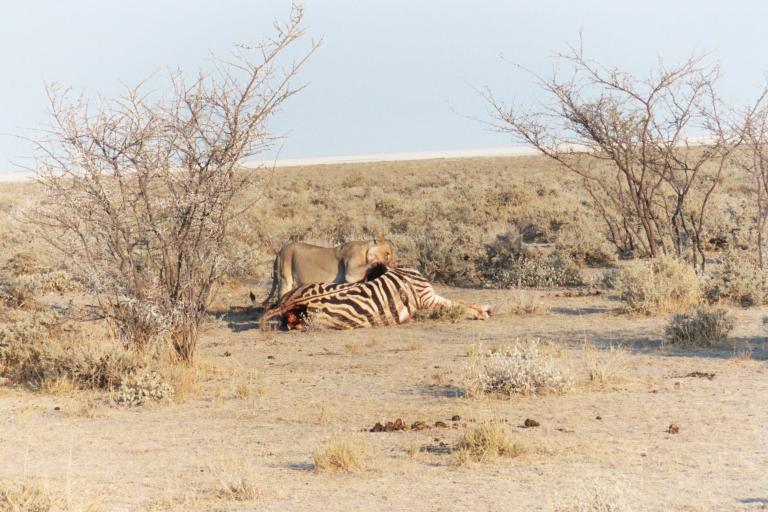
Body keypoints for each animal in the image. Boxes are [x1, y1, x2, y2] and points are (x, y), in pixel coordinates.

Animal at [259, 263, 492, 330]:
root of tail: (291, 303)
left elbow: (461, 302)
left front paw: (484, 308)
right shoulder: (428, 297)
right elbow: (458, 305)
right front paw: (483, 312)